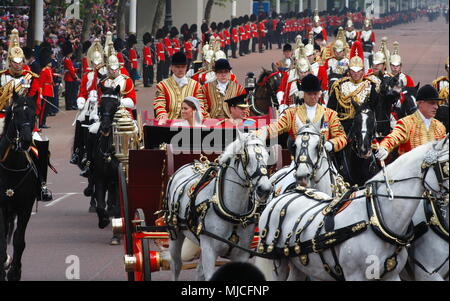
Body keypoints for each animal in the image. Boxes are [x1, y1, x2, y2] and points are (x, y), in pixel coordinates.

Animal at [164, 131, 270, 278]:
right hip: (175, 233)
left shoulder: (241, 254)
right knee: (176, 265)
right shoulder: (210, 251)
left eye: (267, 155)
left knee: (198, 271)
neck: (234, 214)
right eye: (245, 157)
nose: (264, 189)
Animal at [256, 137, 446, 280]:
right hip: (277, 265)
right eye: (445, 166)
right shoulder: (354, 275)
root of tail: (282, 194)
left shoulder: (392, 276)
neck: (375, 218)